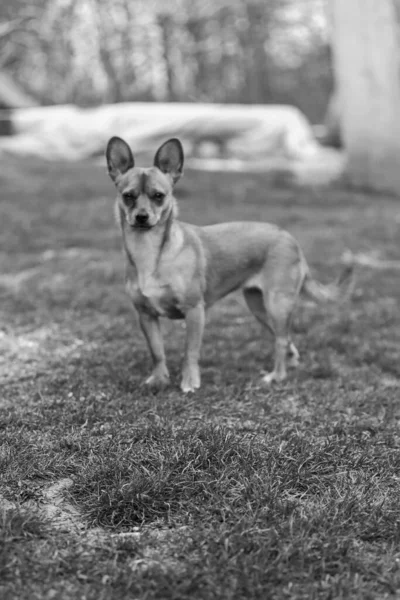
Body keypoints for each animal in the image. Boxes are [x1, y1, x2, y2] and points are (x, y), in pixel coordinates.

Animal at [106, 139, 354, 396]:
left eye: (158, 196)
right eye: (128, 196)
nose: (141, 216)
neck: (150, 251)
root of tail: (290, 238)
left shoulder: (194, 312)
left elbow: (189, 353)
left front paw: (189, 382)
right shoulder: (146, 316)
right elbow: (157, 352)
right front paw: (159, 379)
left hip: (277, 304)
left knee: (281, 339)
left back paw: (276, 375)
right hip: (259, 307)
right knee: (282, 336)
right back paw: (290, 360)